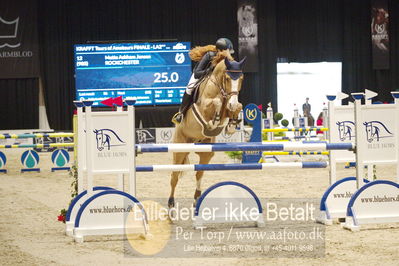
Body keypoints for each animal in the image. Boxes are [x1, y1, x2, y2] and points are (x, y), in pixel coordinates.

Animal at [167, 57, 245, 209]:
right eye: (227, 78)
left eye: (241, 78)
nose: (232, 103)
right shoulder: (204, 106)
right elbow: (217, 102)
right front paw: (212, 122)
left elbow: (239, 106)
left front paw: (231, 124)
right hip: (179, 149)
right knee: (174, 176)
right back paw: (171, 205)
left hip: (206, 152)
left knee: (199, 173)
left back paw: (197, 199)